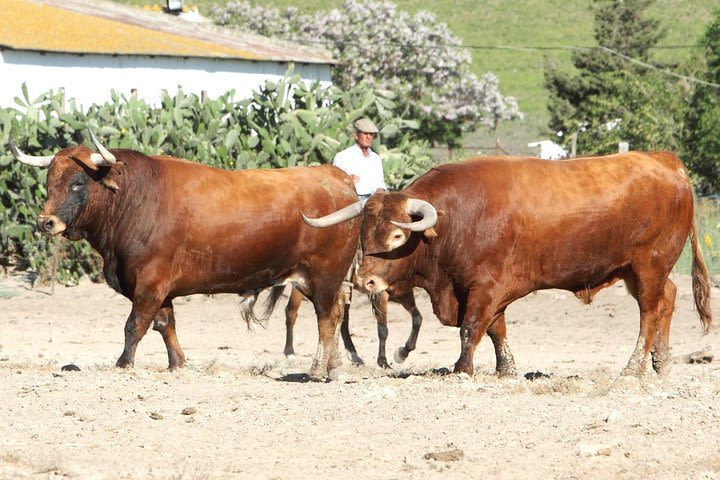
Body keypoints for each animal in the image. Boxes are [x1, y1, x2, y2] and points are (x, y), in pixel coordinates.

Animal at [11, 130, 360, 378]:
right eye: (49, 180)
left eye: (78, 182)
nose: (46, 222)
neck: (136, 198)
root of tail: (339, 177)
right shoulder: (161, 289)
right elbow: (166, 324)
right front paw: (177, 363)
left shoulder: (149, 284)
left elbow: (135, 324)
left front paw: (124, 363)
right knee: (335, 313)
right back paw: (332, 366)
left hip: (325, 275)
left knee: (327, 317)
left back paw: (318, 370)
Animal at [302, 152, 708, 376]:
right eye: (363, 234)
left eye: (399, 237)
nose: (365, 282)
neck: (458, 217)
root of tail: (664, 161)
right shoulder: (485, 290)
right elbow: (497, 330)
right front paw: (506, 369)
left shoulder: (485, 287)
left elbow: (472, 328)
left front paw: (462, 369)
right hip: (636, 272)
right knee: (668, 300)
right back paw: (661, 363)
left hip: (648, 266)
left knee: (650, 313)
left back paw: (634, 367)